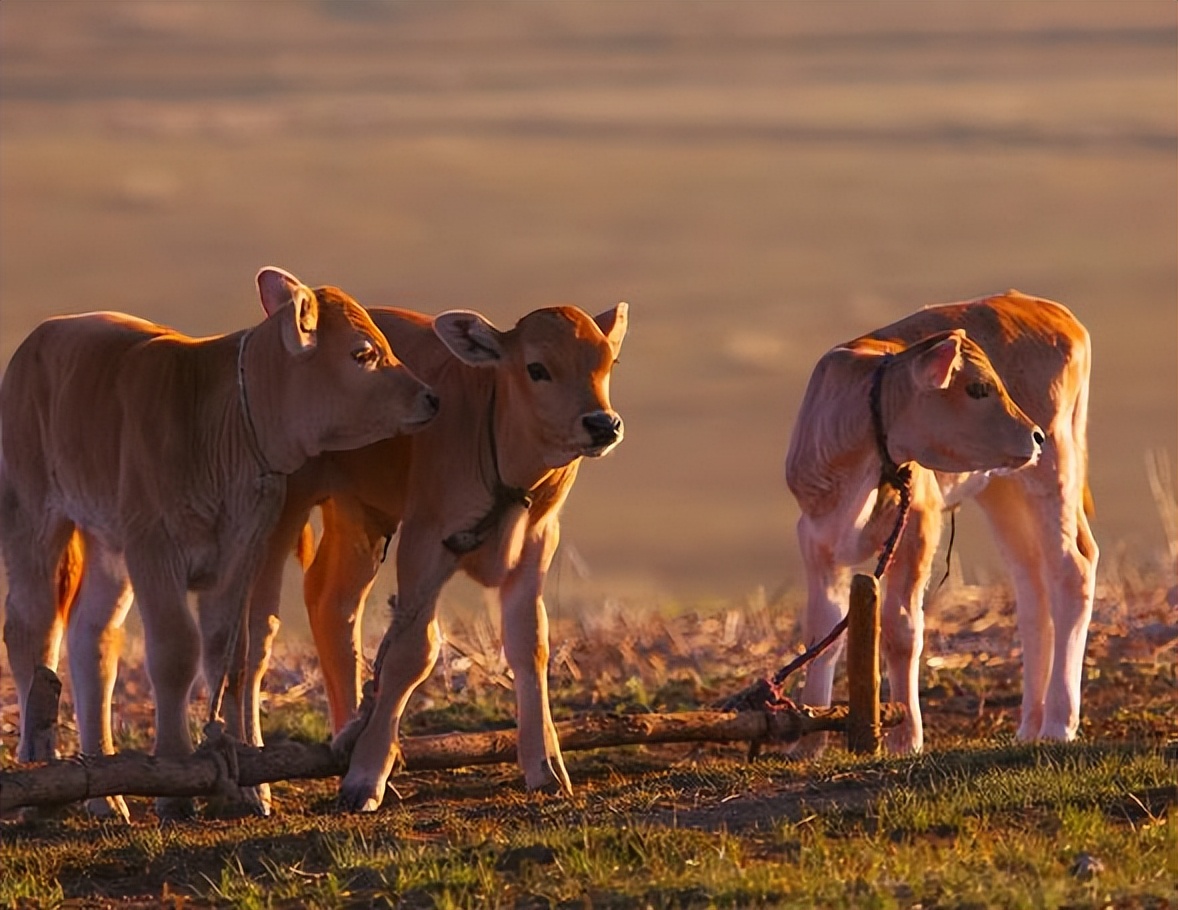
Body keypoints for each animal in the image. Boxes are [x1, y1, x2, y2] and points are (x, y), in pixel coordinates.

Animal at [0, 268, 440, 815]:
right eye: (363, 353)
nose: (430, 397)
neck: (215, 423)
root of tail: (44, 336)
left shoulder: (238, 552)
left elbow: (228, 655)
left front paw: (247, 785)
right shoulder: (154, 546)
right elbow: (175, 652)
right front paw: (173, 781)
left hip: (109, 546)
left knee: (92, 640)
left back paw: (106, 794)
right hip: (33, 516)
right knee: (32, 633)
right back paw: (34, 775)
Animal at [235, 301, 631, 815]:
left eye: (607, 362)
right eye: (537, 368)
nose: (602, 424)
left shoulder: (538, 542)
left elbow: (531, 643)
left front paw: (546, 767)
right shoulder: (426, 539)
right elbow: (412, 652)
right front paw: (365, 778)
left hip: (361, 513)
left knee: (333, 607)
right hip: (282, 511)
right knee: (255, 636)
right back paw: (254, 786)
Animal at [786, 291, 1097, 754]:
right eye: (979, 388)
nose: (1035, 434)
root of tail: (1047, 307)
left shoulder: (919, 519)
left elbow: (901, 629)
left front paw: (906, 737)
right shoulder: (815, 537)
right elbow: (822, 635)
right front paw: (808, 745)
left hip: (1054, 468)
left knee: (1071, 569)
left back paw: (1059, 723)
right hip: (1002, 489)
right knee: (1032, 587)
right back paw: (1030, 725)